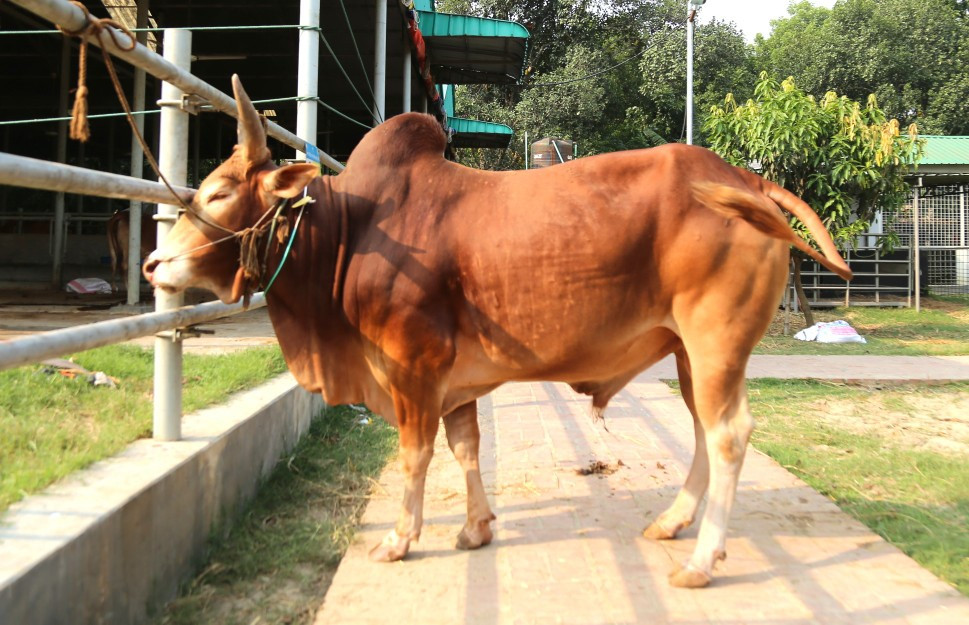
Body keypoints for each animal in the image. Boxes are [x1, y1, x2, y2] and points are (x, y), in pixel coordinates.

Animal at [144, 76, 851, 588]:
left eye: (217, 194)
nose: (154, 265)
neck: (351, 234)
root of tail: (744, 176)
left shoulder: (411, 366)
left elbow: (418, 454)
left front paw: (400, 540)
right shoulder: (453, 379)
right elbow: (466, 448)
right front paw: (476, 528)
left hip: (714, 342)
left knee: (728, 436)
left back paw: (702, 561)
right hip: (687, 353)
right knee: (706, 431)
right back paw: (672, 523)